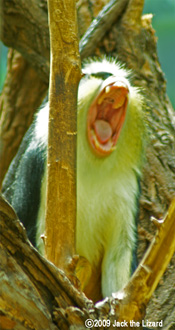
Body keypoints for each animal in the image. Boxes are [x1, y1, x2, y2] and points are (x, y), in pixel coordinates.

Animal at [2, 56, 146, 302]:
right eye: (98, 76)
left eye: (121, 78)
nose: (118, 84)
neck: (92, 163)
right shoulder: (39, 162)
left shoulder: (128, 184)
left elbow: (120, 251)